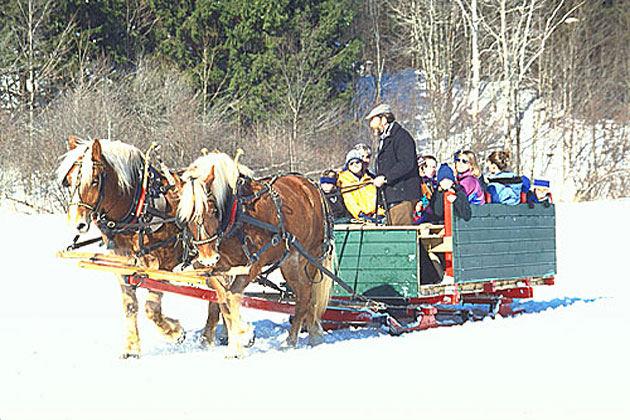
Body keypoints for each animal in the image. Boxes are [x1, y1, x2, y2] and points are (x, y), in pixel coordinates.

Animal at [56, 137, 218, 358]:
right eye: (70, 180)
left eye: (95, 179)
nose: (77, 223)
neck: (138, 211)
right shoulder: (121, 264)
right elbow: (130, 306)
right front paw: (132, 348)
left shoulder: (163, 265)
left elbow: (152, 308)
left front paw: (175, 332)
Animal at [175, 152, 336, 358]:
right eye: (184, 217)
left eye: (213, 210)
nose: (207, 258)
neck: (237, 213)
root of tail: (312, 187)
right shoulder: (219, 269)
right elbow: (223, 301)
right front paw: (236, 341)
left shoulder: (253, 264)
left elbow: (233, 296)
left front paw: (242, 337)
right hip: (289, 262)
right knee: (303, 295)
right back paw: (307, 336)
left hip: (308, 257)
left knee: (306, 296)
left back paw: (293, 341)